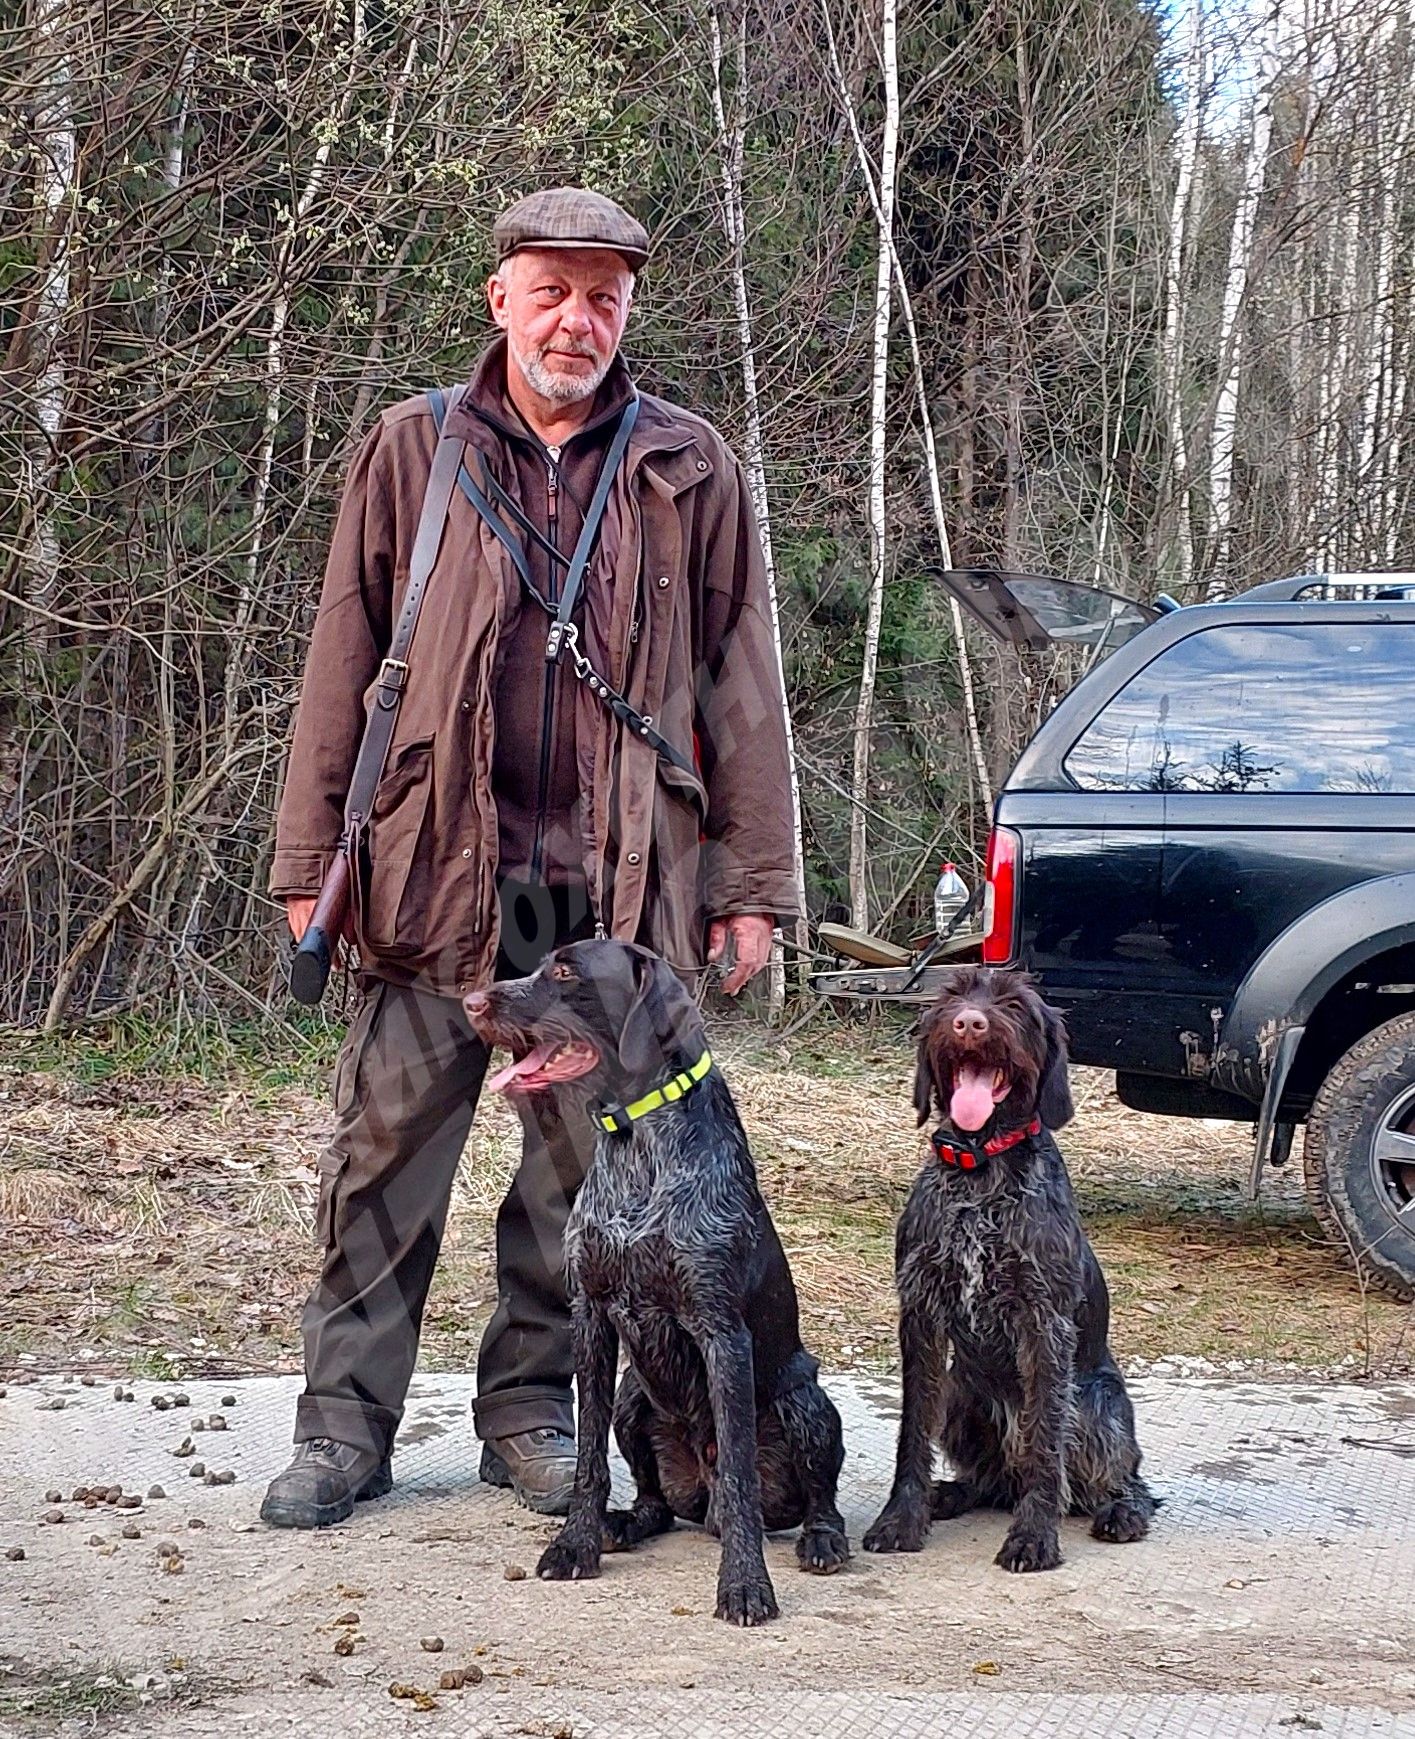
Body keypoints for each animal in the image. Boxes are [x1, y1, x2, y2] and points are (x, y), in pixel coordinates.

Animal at [464, 939, 849, 1626]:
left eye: (566, 970)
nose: (471, 1001)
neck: (638, 1138)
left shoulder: (722, 1333)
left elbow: (742, 1480)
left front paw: (745, 1584)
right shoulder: (591, 1317)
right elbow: (589, 1459)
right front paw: (577, 1544)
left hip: (805, 1403)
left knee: (814, 1498)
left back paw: (822, 1539)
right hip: (633, 1397)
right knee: (656, 1502)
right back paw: (624, 1523)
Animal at [864, 965, 1155, 1572]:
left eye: (1015, 1005)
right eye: (952, 998)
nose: (970, 1023)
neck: (981, 1166)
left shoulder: (1043, 1320)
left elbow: (1045, 1439)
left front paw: (1034, 1536)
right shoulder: (921, 1311)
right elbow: (911, 1429)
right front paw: (902, 1518)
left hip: (1096, 1404)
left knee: (1125, 1480)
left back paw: (1121, 1511)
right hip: (960, 1395)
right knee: (992, 1481)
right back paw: (949, 1493)